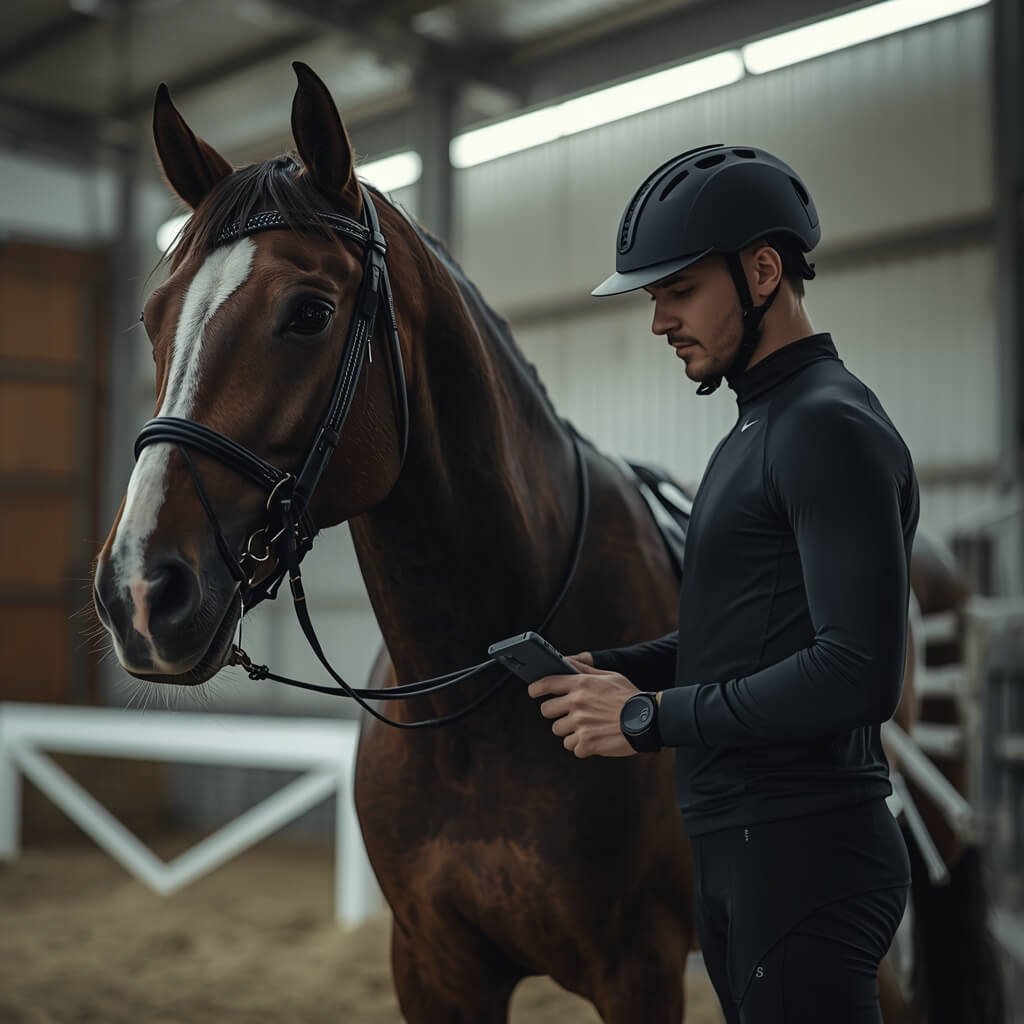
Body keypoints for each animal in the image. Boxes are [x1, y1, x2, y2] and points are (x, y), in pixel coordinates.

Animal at [91, 62, 998, 1023]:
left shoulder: (638, 968)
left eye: (308, 312)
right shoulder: (433, 967)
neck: (476, 705)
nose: (140, 593)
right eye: (152, 318)